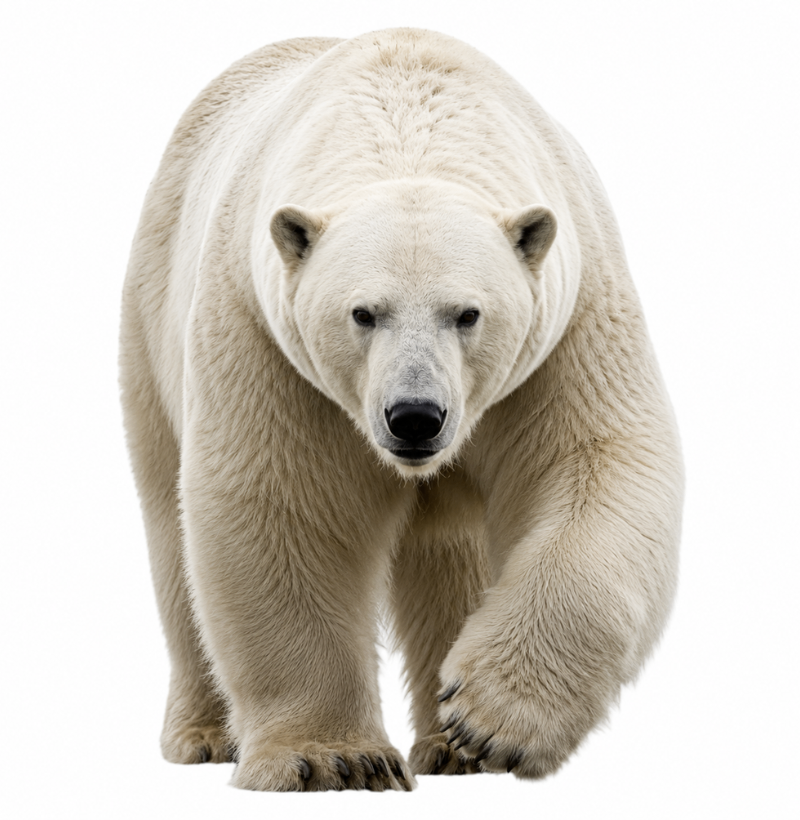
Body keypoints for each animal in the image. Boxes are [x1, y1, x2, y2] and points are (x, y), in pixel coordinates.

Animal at [120, 29, 683, 792]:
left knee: (453, 549)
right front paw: (331, 758)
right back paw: (206, 735)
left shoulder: (567, 321)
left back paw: (450, 747)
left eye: (468, 313)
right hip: (153, 317)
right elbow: (286, 505)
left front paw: (487, 721)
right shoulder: (268, 338)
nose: (415, 416)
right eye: (363, 312)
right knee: (170, 531)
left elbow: (600, 465)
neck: (406, 109)